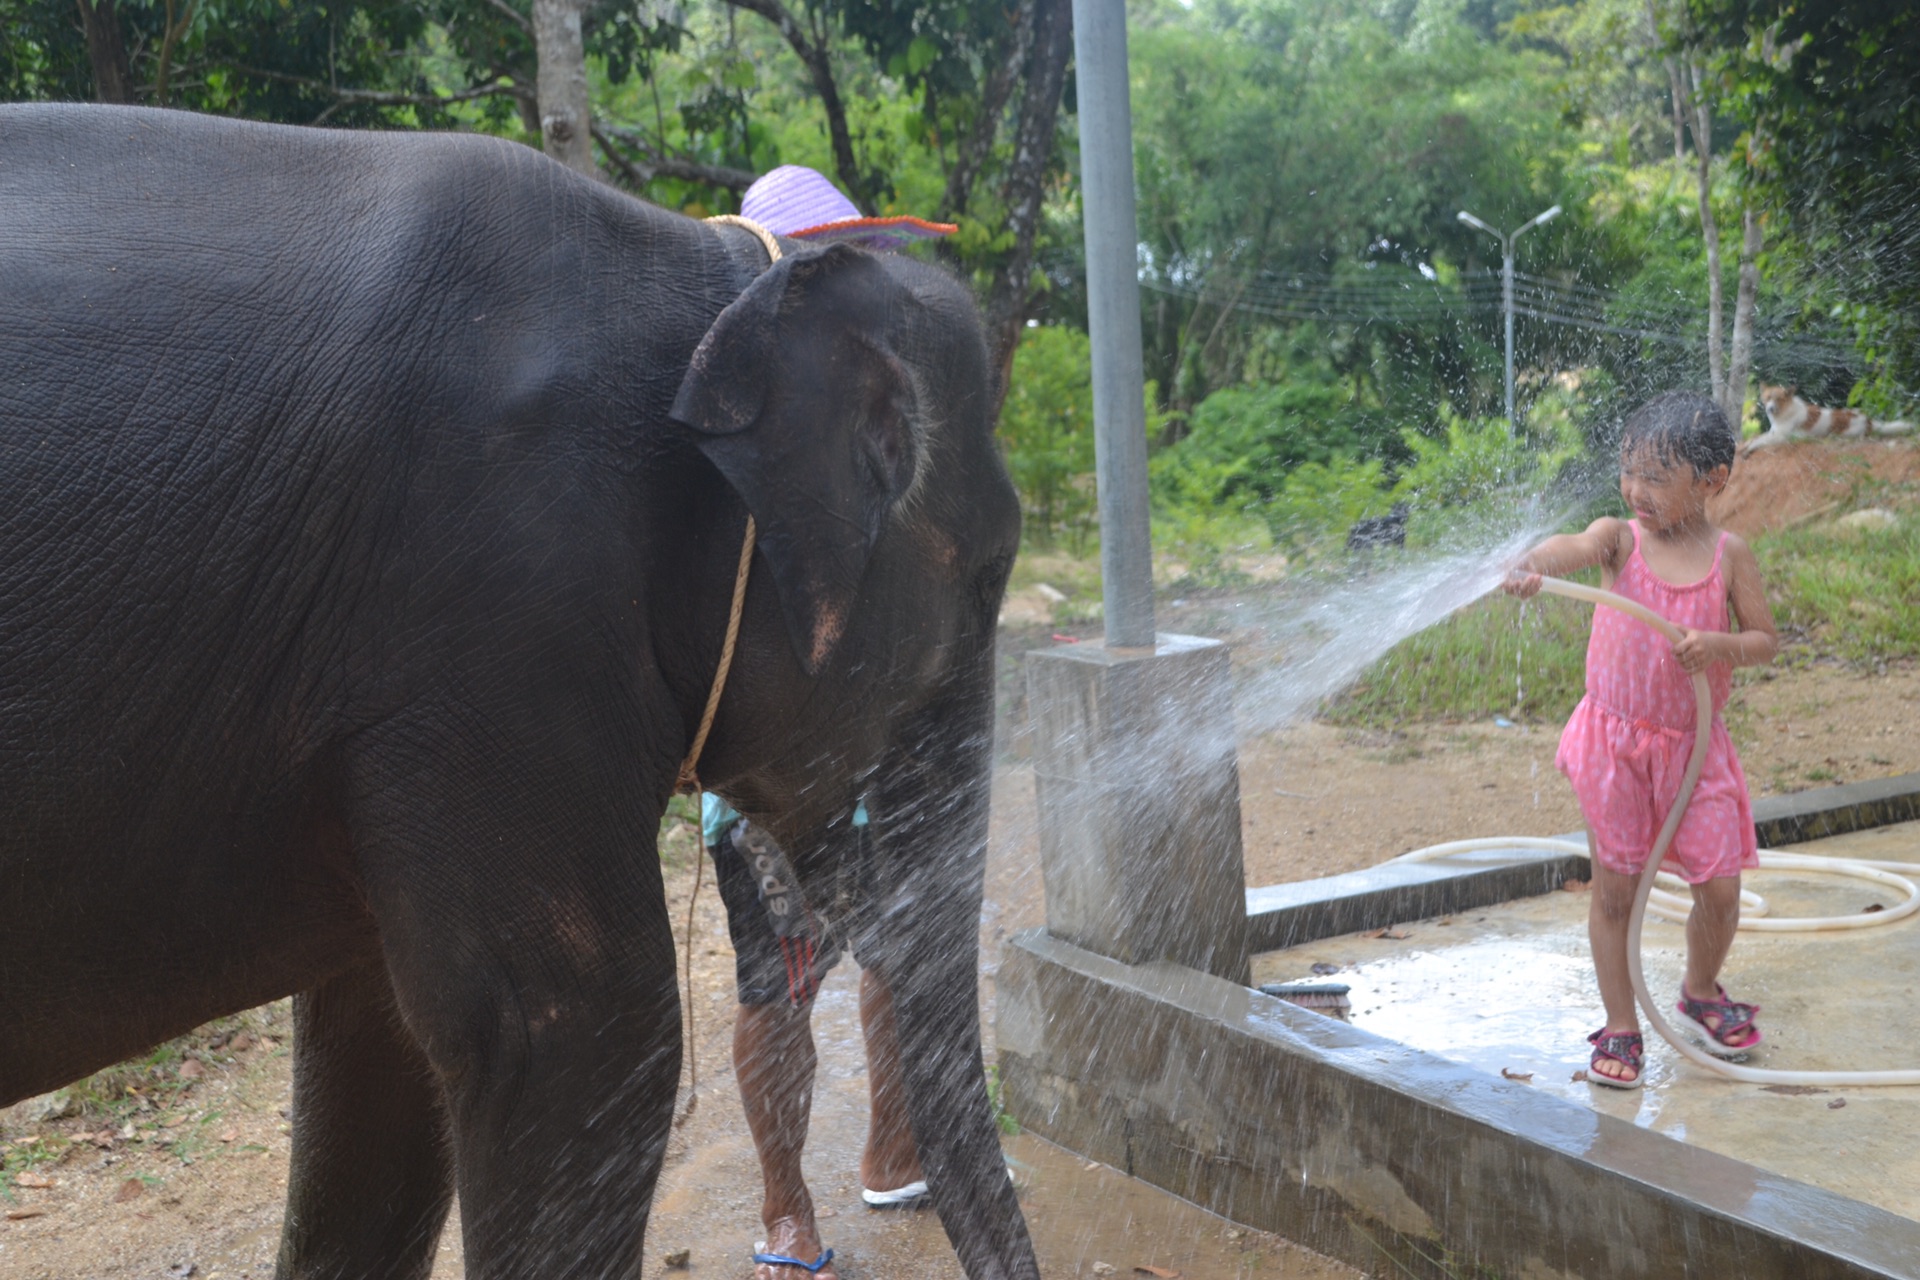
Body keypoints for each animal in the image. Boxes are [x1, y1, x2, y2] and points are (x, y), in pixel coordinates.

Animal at [1751, 383, 1912, 452]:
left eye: (1779, 399)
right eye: (1768, 398)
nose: (1770, 408)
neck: (1786, 411)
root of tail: (1869, 421)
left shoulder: (1781, 437)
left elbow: (1759, 441)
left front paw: (1749, 449)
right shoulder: (1773, 433)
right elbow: (1756, 439)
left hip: (1845, 433)